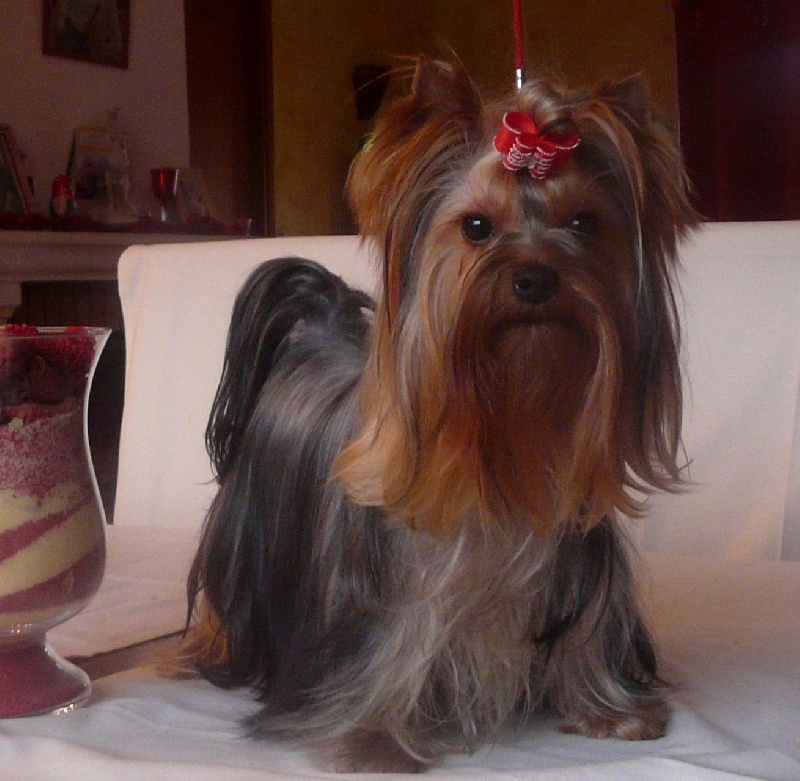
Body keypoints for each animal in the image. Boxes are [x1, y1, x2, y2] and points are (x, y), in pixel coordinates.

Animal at [180, 56, 697, 772]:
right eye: (476, 226)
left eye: (583, 225)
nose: (535, 278)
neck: (504, 429)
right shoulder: (383, 605)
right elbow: (387, 662)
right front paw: (373, 740)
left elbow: (585, 639)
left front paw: (610, 712)